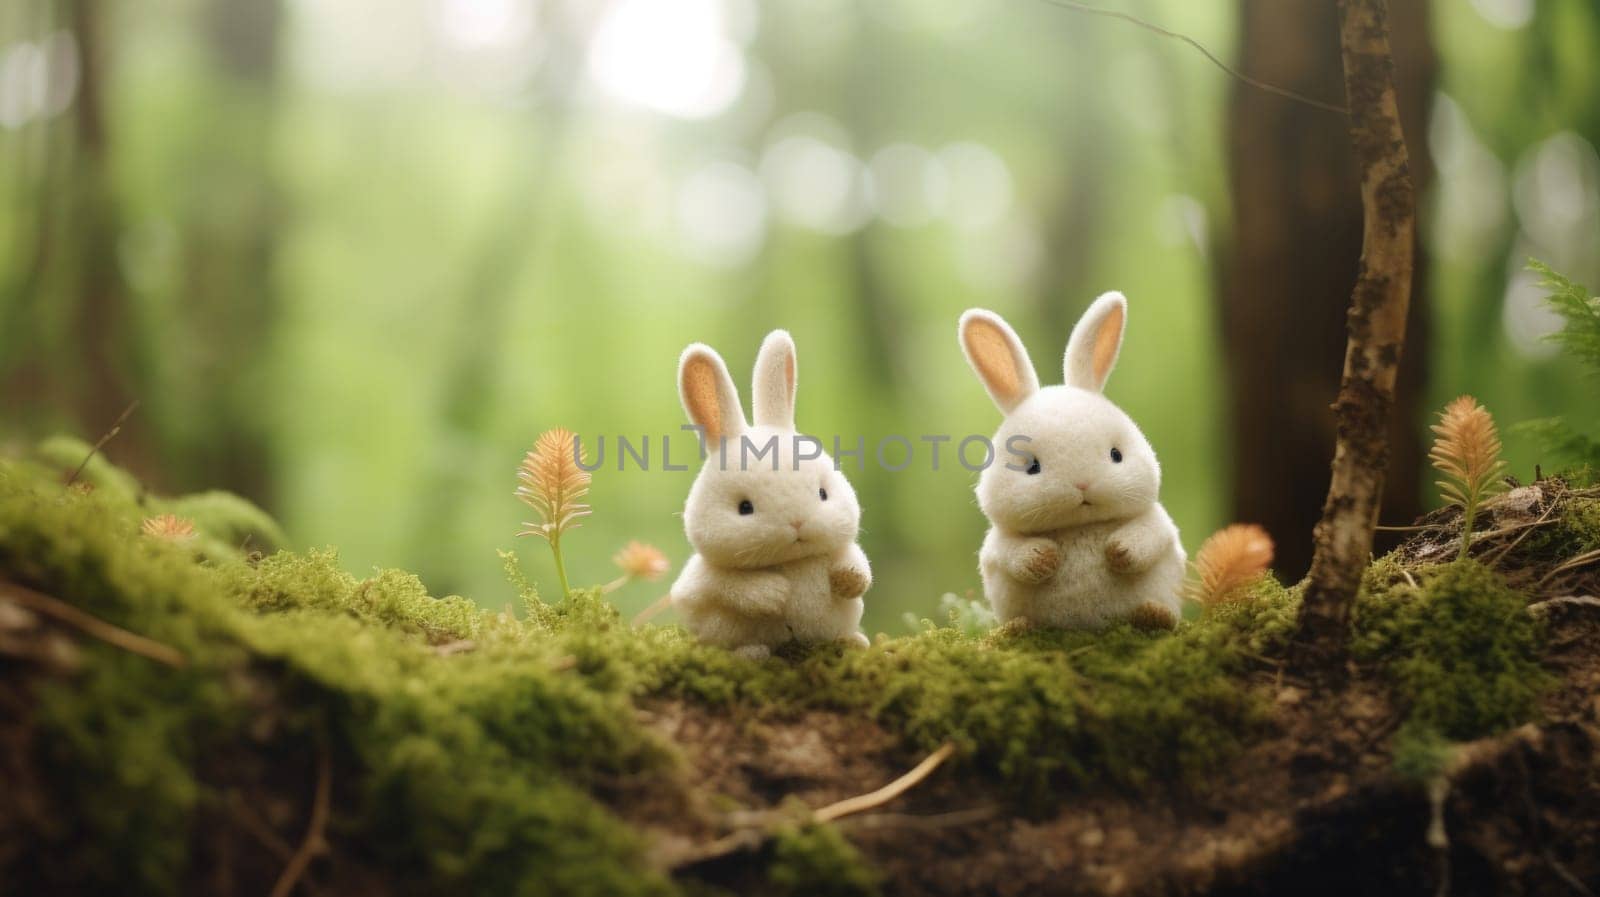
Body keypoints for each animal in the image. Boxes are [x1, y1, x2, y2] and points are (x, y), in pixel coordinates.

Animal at [672, 329, 883, 658]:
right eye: (744, 508)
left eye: (823, 493)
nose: (797, 524)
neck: (792, 561)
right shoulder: (696, 581)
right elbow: (716, 584)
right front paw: (772, 593)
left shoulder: (840, 550)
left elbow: (855, 560)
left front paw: (848, 580)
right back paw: (752, 653)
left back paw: (852, 642)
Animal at [953, 294, 1184, 629]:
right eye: (1031, 467)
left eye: (1116, 455)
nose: (1083, 485)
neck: (1079, 526)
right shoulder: (996, 544)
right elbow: (1010, 553)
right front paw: (1043, 558)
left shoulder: (1159, 523)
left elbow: (1148, 535)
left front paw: (1120, 551)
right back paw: (1018, 627)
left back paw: (1154, 615)